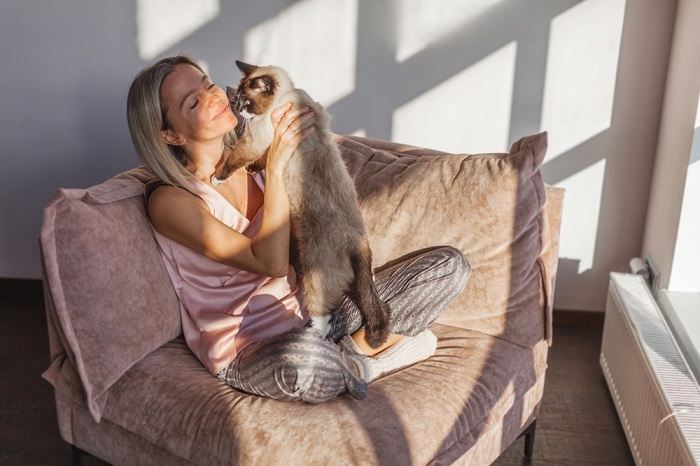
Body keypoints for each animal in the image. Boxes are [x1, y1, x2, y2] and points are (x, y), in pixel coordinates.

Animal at [211, 60, 392, 348]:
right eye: (237, 99)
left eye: (246, 101)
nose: (238, 109)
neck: (289, 95)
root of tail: (357, 238)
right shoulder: (268, 142)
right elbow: (262, 160)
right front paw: (253, 169)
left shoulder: (257, 138)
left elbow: (240, 158)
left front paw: (218, 176)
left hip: (314, 276)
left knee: (324, 314)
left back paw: (314, 333)